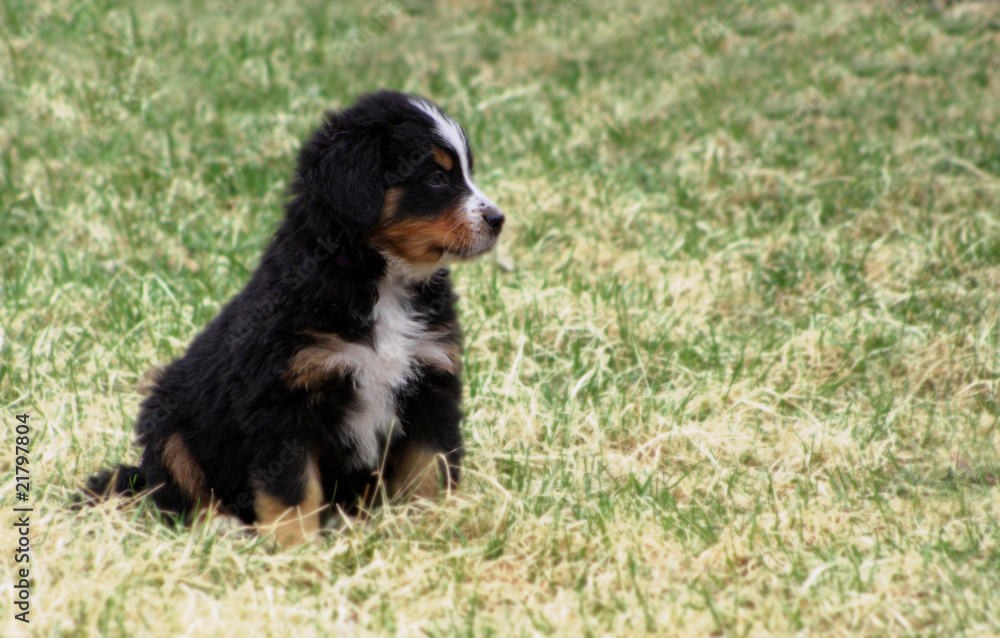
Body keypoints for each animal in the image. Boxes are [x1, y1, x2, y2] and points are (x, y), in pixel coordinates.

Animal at [84, 90, 508, 544]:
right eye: (436, 178)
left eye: (466, 173)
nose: (498, 220)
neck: (382, 282)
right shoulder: (283, 398)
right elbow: (292, 486)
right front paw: (295, 545)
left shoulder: (431, 381)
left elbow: (430, 467)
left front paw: (433, 524)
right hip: (167, 420)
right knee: (175, 485)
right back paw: (220, 524)